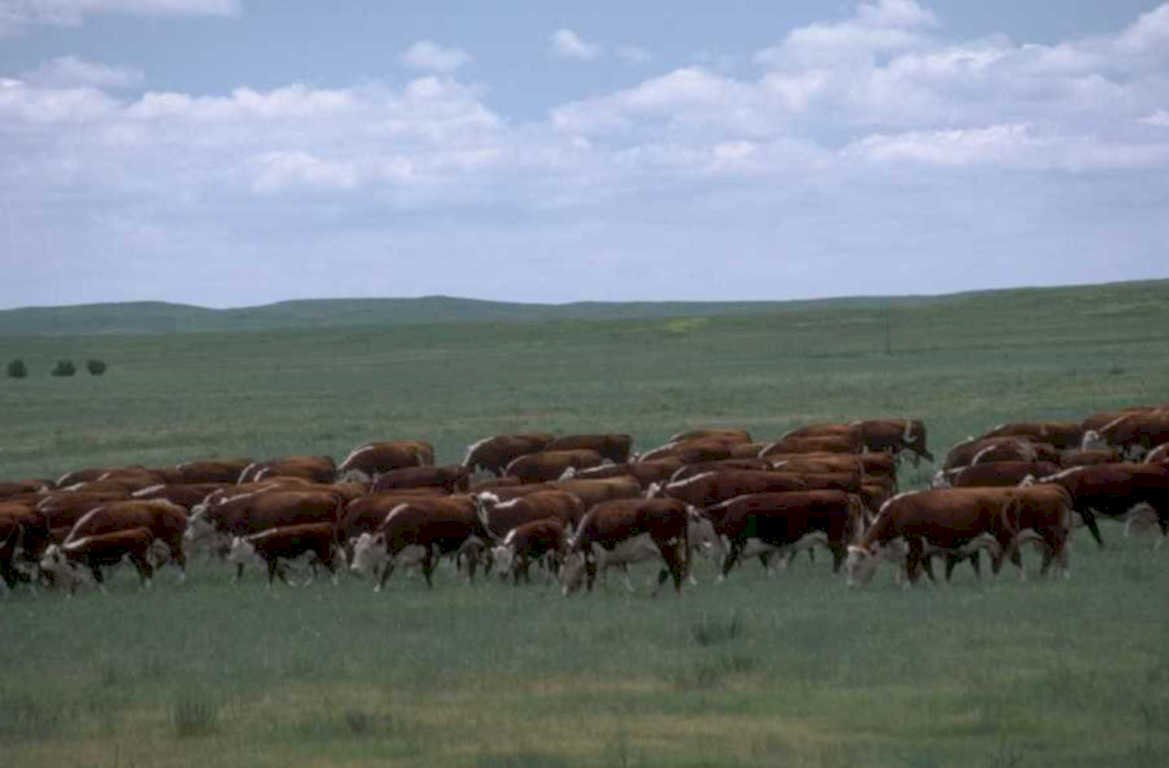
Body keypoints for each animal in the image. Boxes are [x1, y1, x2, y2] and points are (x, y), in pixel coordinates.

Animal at [560, 498, 689, 595]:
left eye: (567, 565)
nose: (564, 592)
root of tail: (676, 503)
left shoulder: (594, 554)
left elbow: (593, 575)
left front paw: (590, 594)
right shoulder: (616, 557)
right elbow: (621, 573)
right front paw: (629, 590)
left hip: (667, 546)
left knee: (675, 567)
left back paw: (676, 594)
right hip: (676, 547)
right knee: (671, 570)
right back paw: (656, 594)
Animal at [700, 490, 864, 579]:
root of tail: (846, 495)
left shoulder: (736, 543)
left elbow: (727, 564)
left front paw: (719, 581)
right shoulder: (760, 544)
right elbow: (765, 562)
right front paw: (772, 576)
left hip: (835, 536)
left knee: (839, 554)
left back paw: (835, 575)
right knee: (846, 554)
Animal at [845, 488, 1018, 587]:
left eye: (857, 565)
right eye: (848, 566)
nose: (850, 586)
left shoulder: (914, 544)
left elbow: (912, 569)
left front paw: (909, 587)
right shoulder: (920, 551)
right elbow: (924, 570)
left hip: (1002, 538)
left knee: (1011, 559)